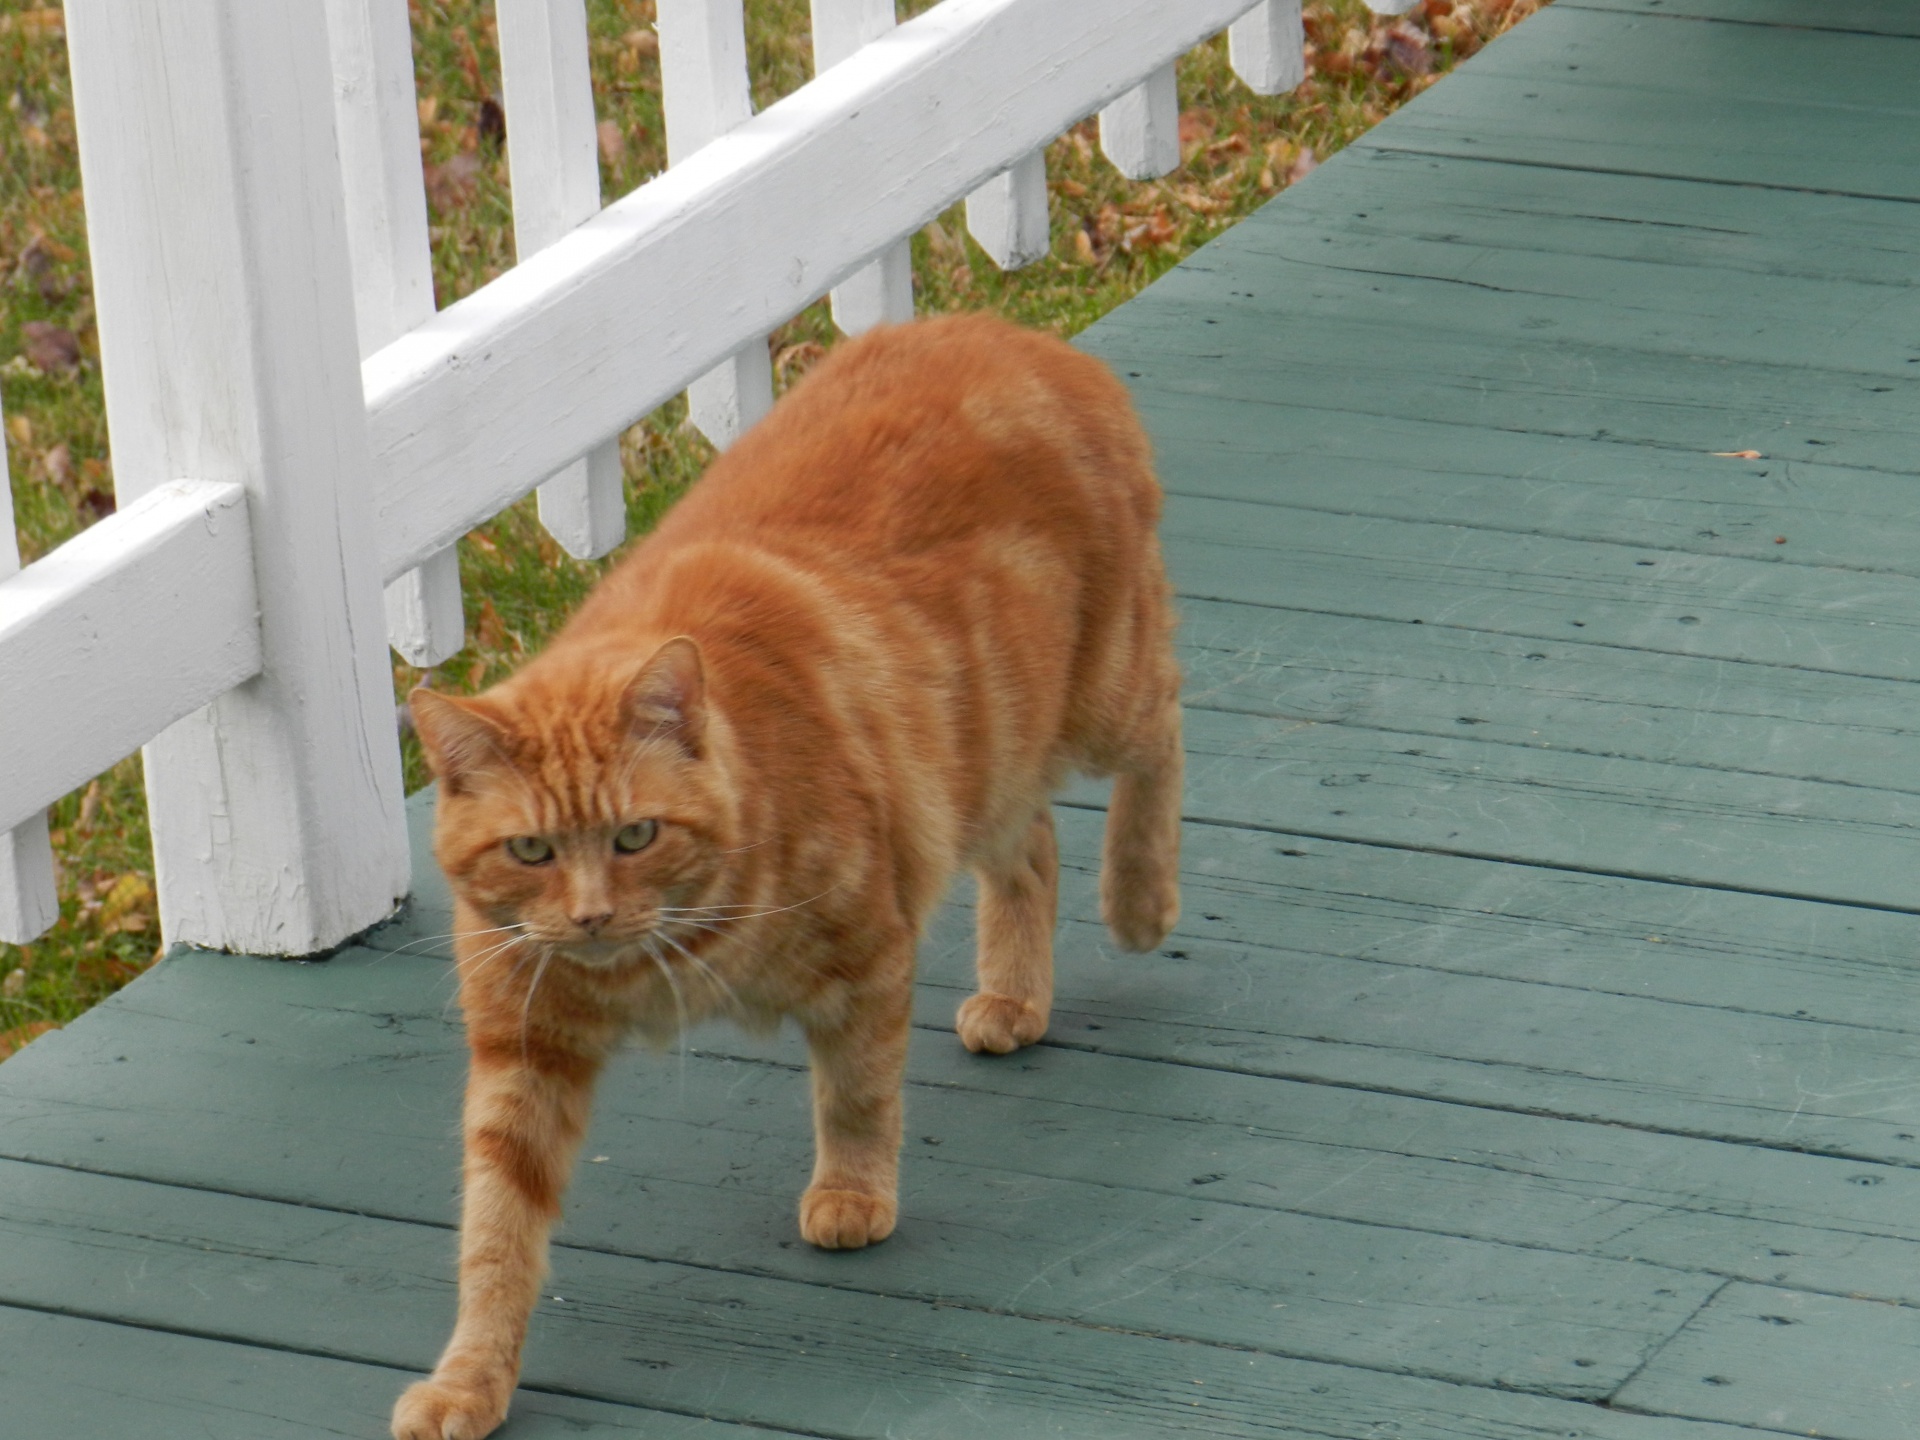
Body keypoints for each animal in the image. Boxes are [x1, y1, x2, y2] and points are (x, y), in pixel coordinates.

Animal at [395, 318, 1175, 1440]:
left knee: (1162, 729)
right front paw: (471, 1380)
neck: (664, 954)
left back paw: (1143, 899)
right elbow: (497, 1238)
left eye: (636, 835)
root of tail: (1017, 335)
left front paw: (852, 1194)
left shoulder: (865, 957)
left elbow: (855, 1096)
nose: (589, 918)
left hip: (1098, 694)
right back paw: (1017, 997)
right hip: (986, 760)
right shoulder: (523, 1053)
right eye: (532, 852)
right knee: (1031, 848)